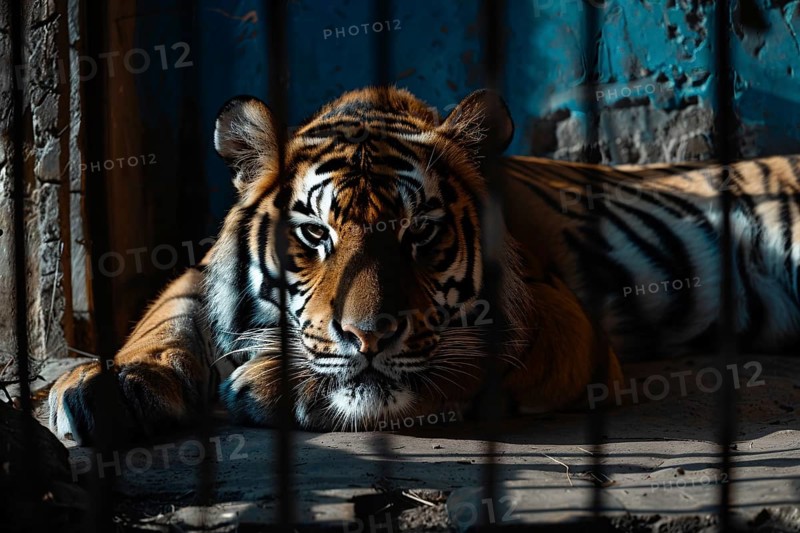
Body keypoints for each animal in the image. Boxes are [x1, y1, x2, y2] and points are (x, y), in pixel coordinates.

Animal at [48, 86, 799, 443]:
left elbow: (443, 365)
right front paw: (112, 387)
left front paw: (269, 382)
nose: (369, 334)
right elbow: (167, 316)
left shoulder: (561, 320)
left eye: (422, 233)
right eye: (314, 234)